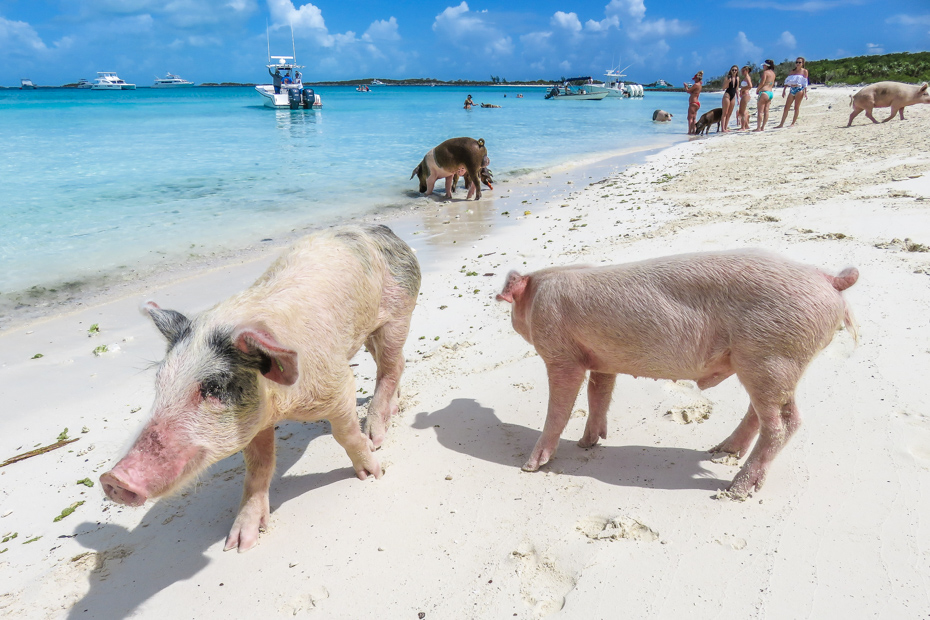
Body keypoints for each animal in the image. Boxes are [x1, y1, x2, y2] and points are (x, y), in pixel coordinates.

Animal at [100, 225, 420, 552]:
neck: (282, 407)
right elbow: (257, 467)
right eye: (159, 382)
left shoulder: (339, 382)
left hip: (399, 312)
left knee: (391, 366)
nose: (113, 479)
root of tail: (378, 228)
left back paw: (376, 434)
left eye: (213, 387)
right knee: (390, 362)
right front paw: (239, 544)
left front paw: (373, 472)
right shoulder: (254, 421)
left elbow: (345, 434)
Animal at [496, 250, 858, 497]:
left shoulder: (561, 355)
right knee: (761, 413)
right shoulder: (601, 360)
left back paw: (735, 490)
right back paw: (720, 451)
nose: (527, 466)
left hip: (771, 357)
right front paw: (587, 443)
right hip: (766, 364)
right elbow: (598, 393)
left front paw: (529, 466)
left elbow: (559, 406)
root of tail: (828, 279)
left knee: (784, 423)